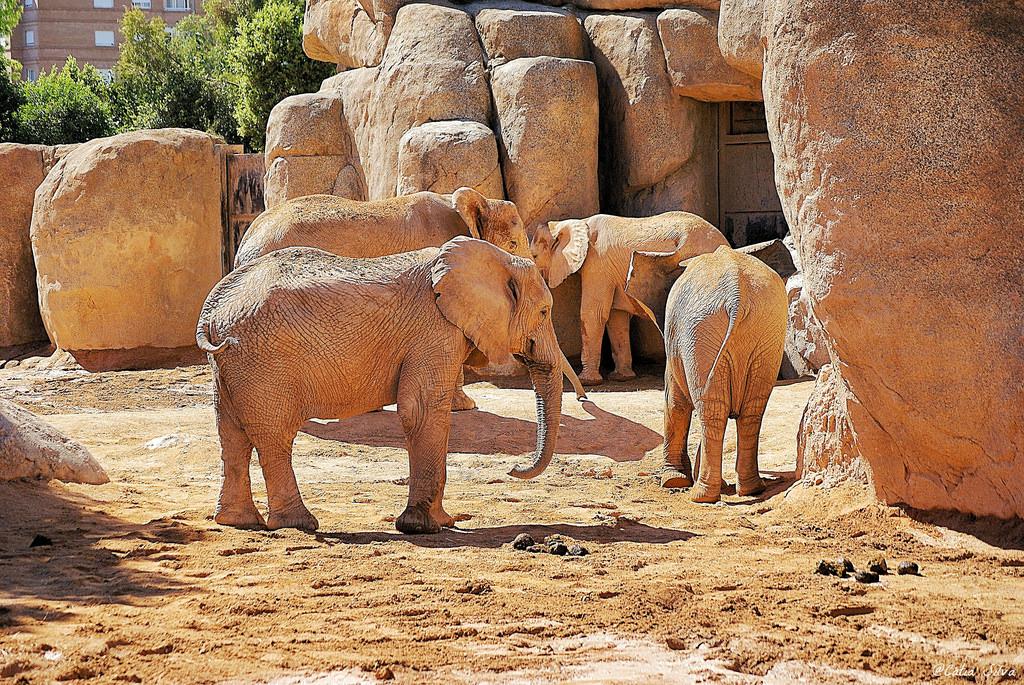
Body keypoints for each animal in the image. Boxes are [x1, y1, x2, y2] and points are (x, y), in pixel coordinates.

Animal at [196, 237, 566, 534]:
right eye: (544, 312)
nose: (513, 469)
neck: (496, 257)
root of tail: (212, 312)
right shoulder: (434, 331)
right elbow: (421, 410)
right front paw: (428, 527)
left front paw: (434, 523)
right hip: (264, 361)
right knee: (275, 435)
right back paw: (299, 524)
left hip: (232, 364)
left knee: (230, 432)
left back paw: (238, 522)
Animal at [531, 212, 728, 386]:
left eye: (534, 255)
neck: (578, 222)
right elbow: (616, 316)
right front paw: (621, 378)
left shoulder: (597, 262)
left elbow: (594, 314)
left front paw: (587, 381)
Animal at [626, 246, 788, 503]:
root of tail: (737, 295)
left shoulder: (675, 342)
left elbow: (674, 402)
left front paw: (673, 481)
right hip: (767, 329)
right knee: (749, 409)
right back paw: (751, 489)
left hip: (699, 331)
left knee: (710, 409)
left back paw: (700, 496)